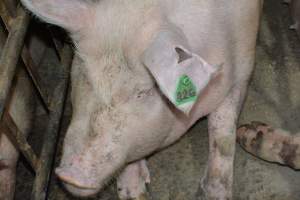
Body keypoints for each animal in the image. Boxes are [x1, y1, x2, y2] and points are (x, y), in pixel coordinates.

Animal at [21, 0, 262, 199]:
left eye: (143, 91)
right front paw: (132, 192)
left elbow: (223, 130)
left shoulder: (244, 67)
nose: (70, 174)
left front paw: (214, 194)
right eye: (87, 76)